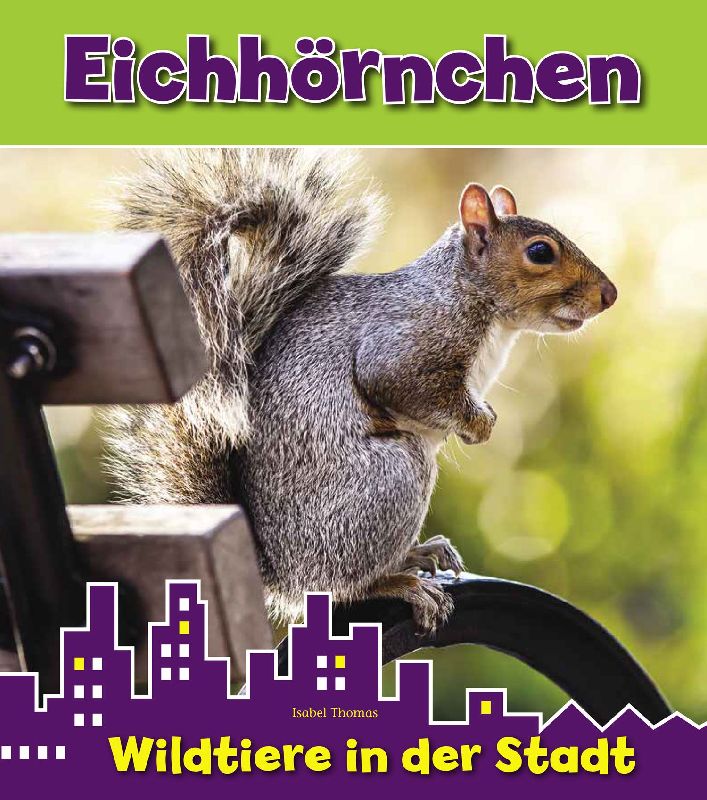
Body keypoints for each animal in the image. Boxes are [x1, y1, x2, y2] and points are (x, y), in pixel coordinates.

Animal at [105, 149, 617, 633]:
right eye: (540, 252)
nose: (608, 295)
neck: (468, 295)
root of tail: (283, 575)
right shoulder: (407, 342)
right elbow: (401, 383)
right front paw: (478, 423)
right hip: (392, 478)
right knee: (347, 586)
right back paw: (401, 583)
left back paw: (420, 554)